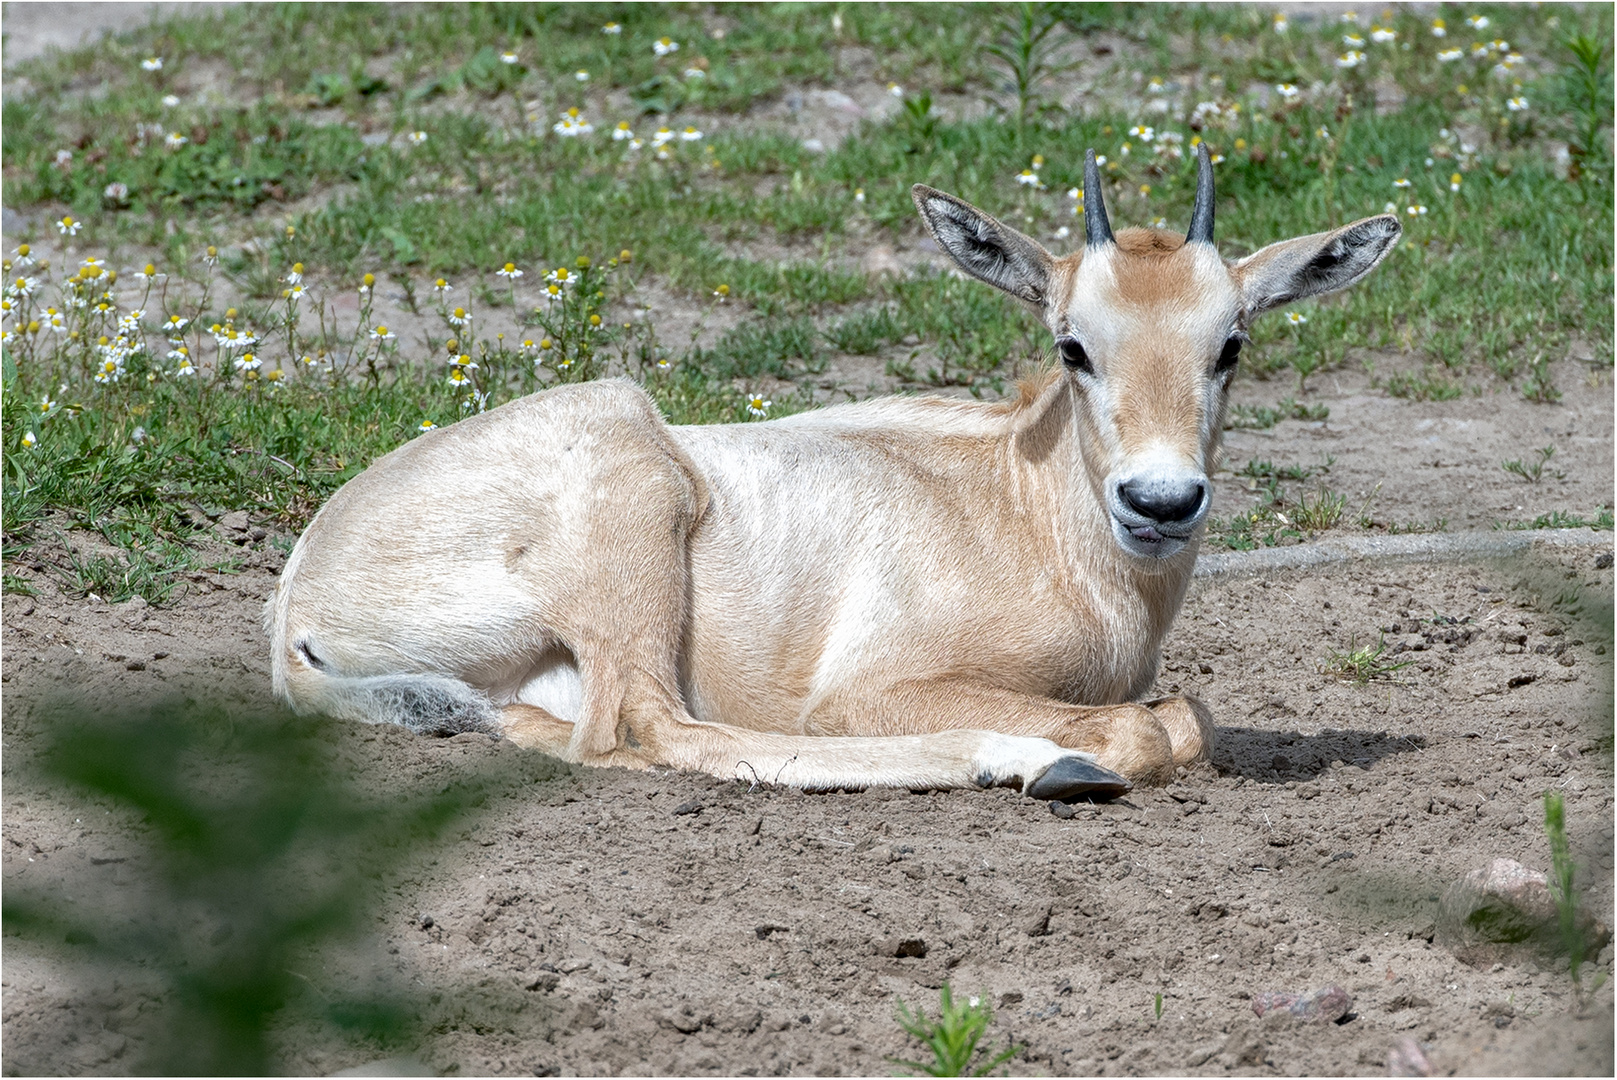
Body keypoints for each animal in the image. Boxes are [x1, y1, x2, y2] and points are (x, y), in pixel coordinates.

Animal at [268, 147, 1403, 798]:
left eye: (1231, 345)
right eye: (1073, 344)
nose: (1159, 503)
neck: (1026, 505)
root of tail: (297, 597)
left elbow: (1188, 716)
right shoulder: (876, 689)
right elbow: (1158, 726)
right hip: (631, 480)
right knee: (645, 725)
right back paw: (1031, 764)